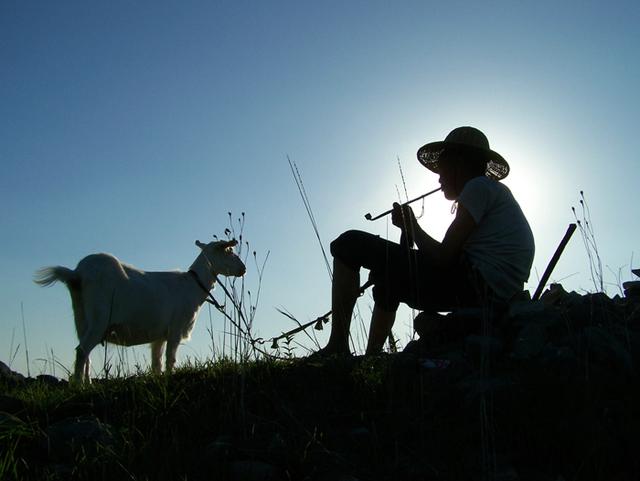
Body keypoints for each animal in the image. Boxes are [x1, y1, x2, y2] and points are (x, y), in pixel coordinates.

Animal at [33, 239, 246, 382]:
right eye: (229, 251)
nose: (243, 269)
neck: (193, 284)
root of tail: (77, 274)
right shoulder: (175, 329)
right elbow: (170, 359)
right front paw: (169, 378)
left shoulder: (159, 336)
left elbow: (156, 363)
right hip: (99, 317)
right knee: (82, 350)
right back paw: (79, 387)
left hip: (82, 319)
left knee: (86, 355)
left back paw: (87, 384)